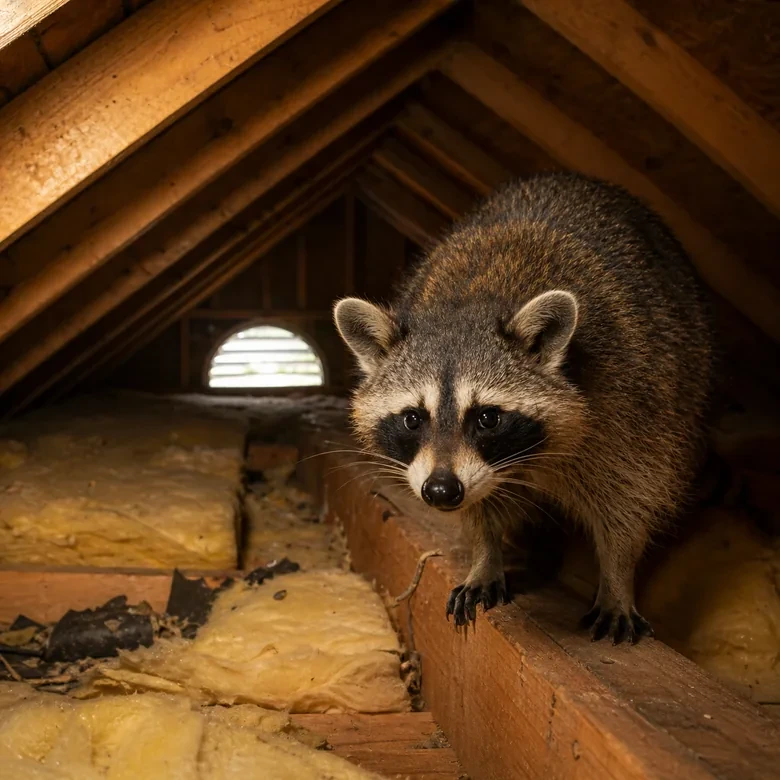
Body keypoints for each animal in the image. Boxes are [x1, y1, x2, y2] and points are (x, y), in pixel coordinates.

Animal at [334, 172, 716, 644]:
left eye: (487, 418)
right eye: (412, 418)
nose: (440, 491)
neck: (474, 300)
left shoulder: (632, 401)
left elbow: (632, 495)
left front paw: (617, 575)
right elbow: (480, 507)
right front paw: (485, 552)